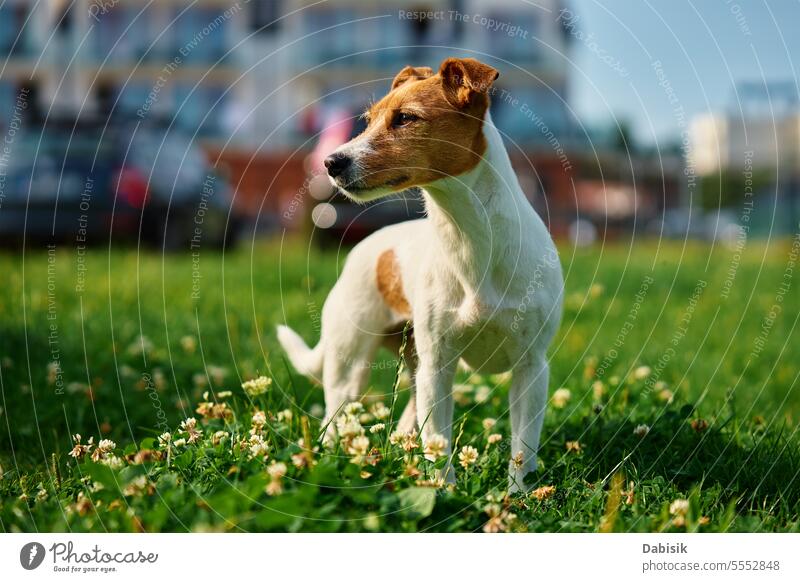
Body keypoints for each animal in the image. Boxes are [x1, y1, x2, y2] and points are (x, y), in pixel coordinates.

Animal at [278, 57, 564, 492]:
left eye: (405, 118)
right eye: (367, 121)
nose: (330, 162)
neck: (471, 239)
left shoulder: (531, 367)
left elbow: (522, 447)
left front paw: (519, 496)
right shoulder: (440, 363)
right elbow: (438, 440)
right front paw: (445, 492)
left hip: (415, 367)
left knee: (409, 417)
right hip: (354, 366)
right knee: (335, 417)